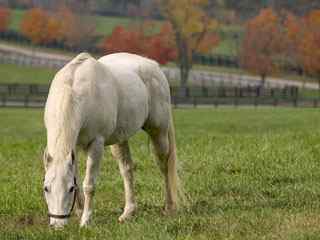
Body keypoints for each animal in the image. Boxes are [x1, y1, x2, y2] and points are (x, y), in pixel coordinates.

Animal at [42, 52, 179, 227]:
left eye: (70, 189)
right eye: (46, 188)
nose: (57, 225)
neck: (75, 91)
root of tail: (154, 65)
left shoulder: (96, 144)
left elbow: (89, 184)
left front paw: (85, 220)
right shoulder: (74, 147)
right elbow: (77, 177)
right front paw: (79, 212)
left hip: (159, 133)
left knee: (164, 167)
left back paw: (169, 207)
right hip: (120, 140)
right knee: (127, 170)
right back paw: (128, 213)